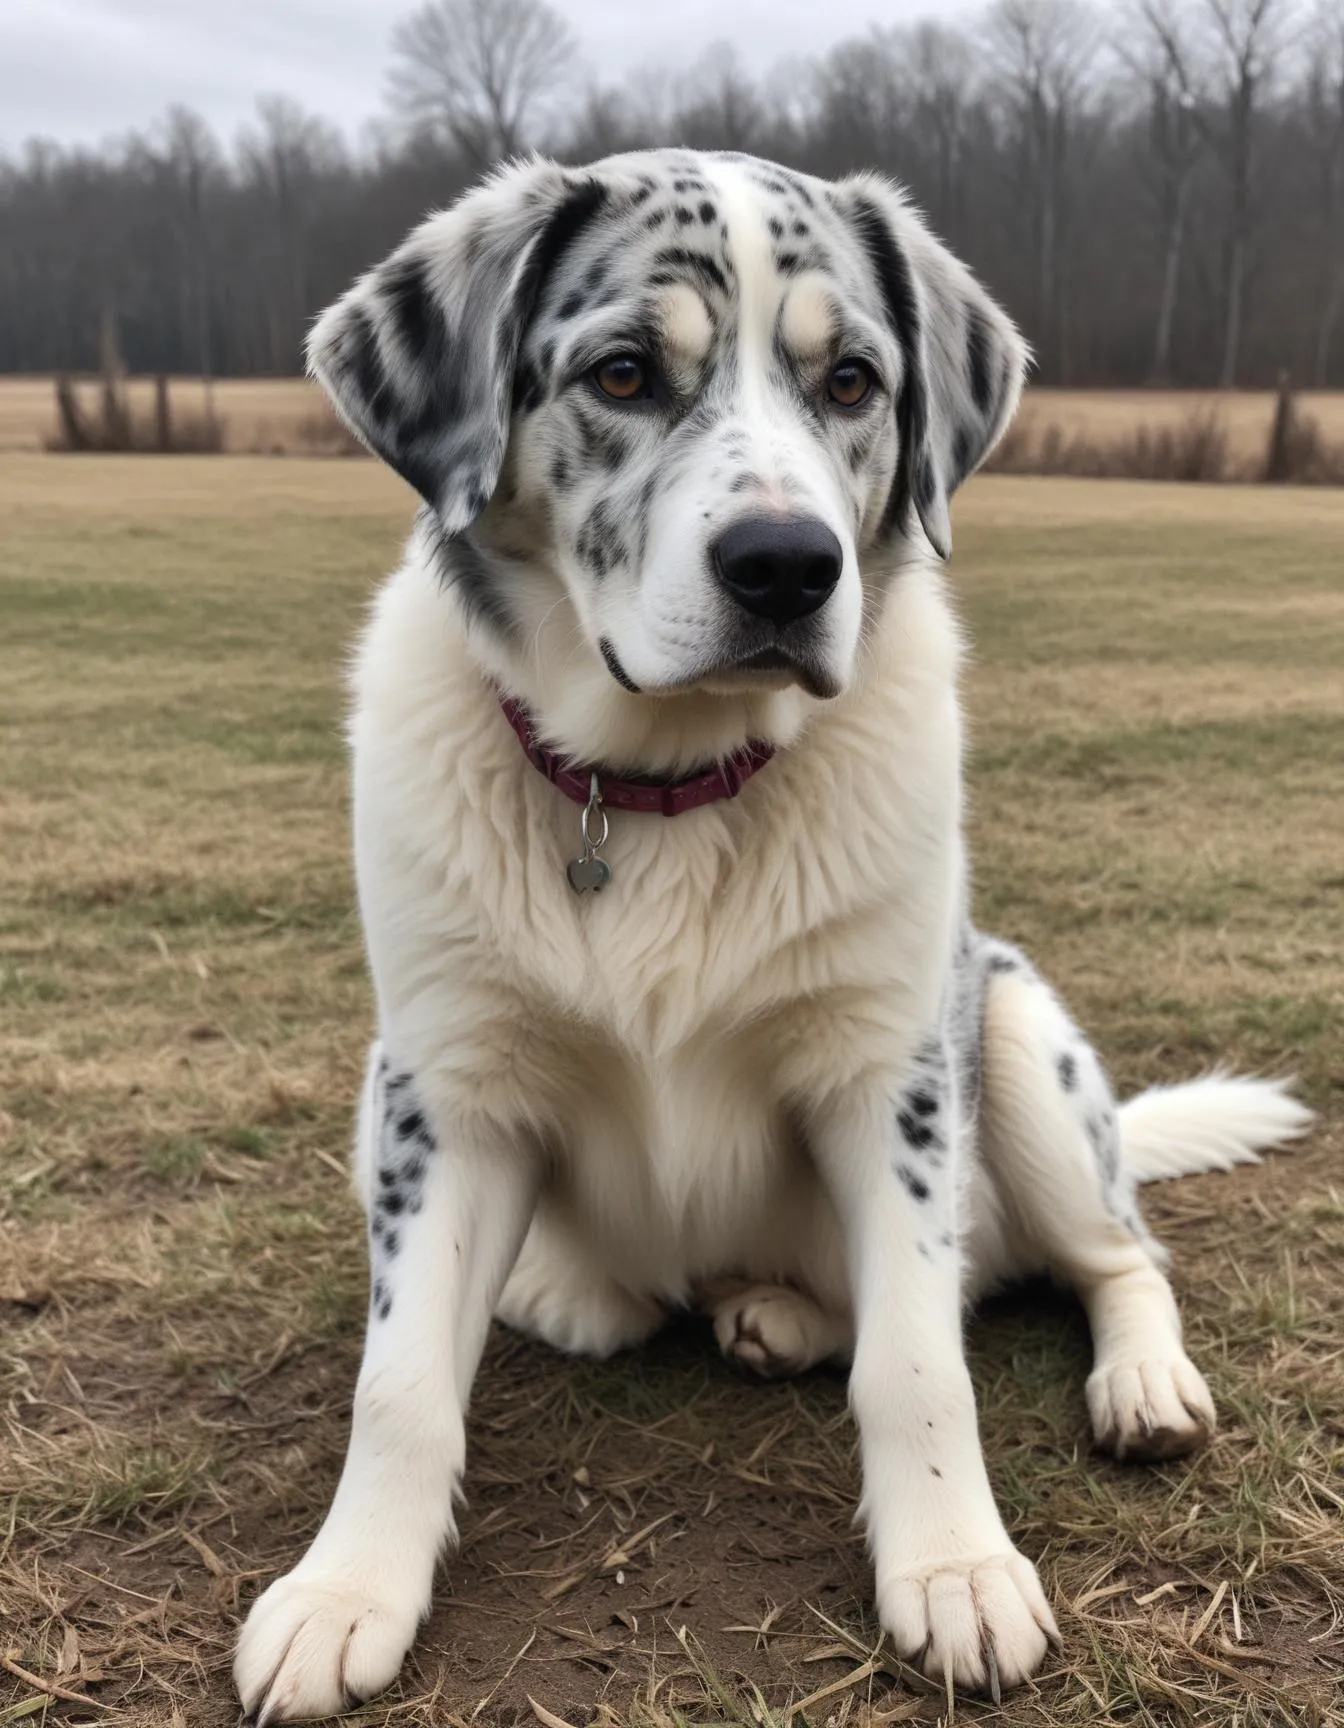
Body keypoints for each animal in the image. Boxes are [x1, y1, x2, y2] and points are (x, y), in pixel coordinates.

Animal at [233, 155, 1305, 1721]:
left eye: (852, 380)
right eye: (624, 371)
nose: (788, 565)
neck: (663, 793)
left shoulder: (893, 1077)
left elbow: (919, 1362)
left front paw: (955, 1568)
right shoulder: (441, 1091)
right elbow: (402, 1381)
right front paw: (345, 1591)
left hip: (1016, 1034)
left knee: (1108, 1260)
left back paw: (1134, 1381)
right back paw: (724, 1307)